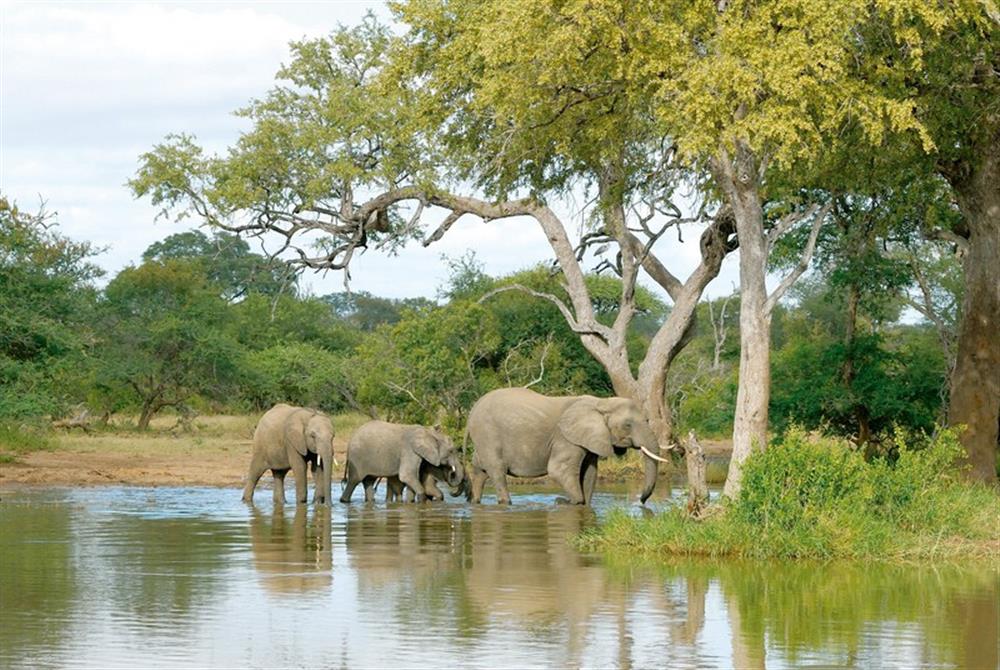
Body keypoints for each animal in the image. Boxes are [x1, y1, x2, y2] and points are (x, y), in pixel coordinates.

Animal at [464, 386, 668, 506]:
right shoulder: (566, 438)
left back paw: (475, 502)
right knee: (497, 471)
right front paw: (564, 501)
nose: (642, 501)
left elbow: (590, 473)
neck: (601, 402)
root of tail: (472, 410)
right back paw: (505, 503)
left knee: (480, 470)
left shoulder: (589, 439)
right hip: (488, 433)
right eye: (627, 425)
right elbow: (558, 470)